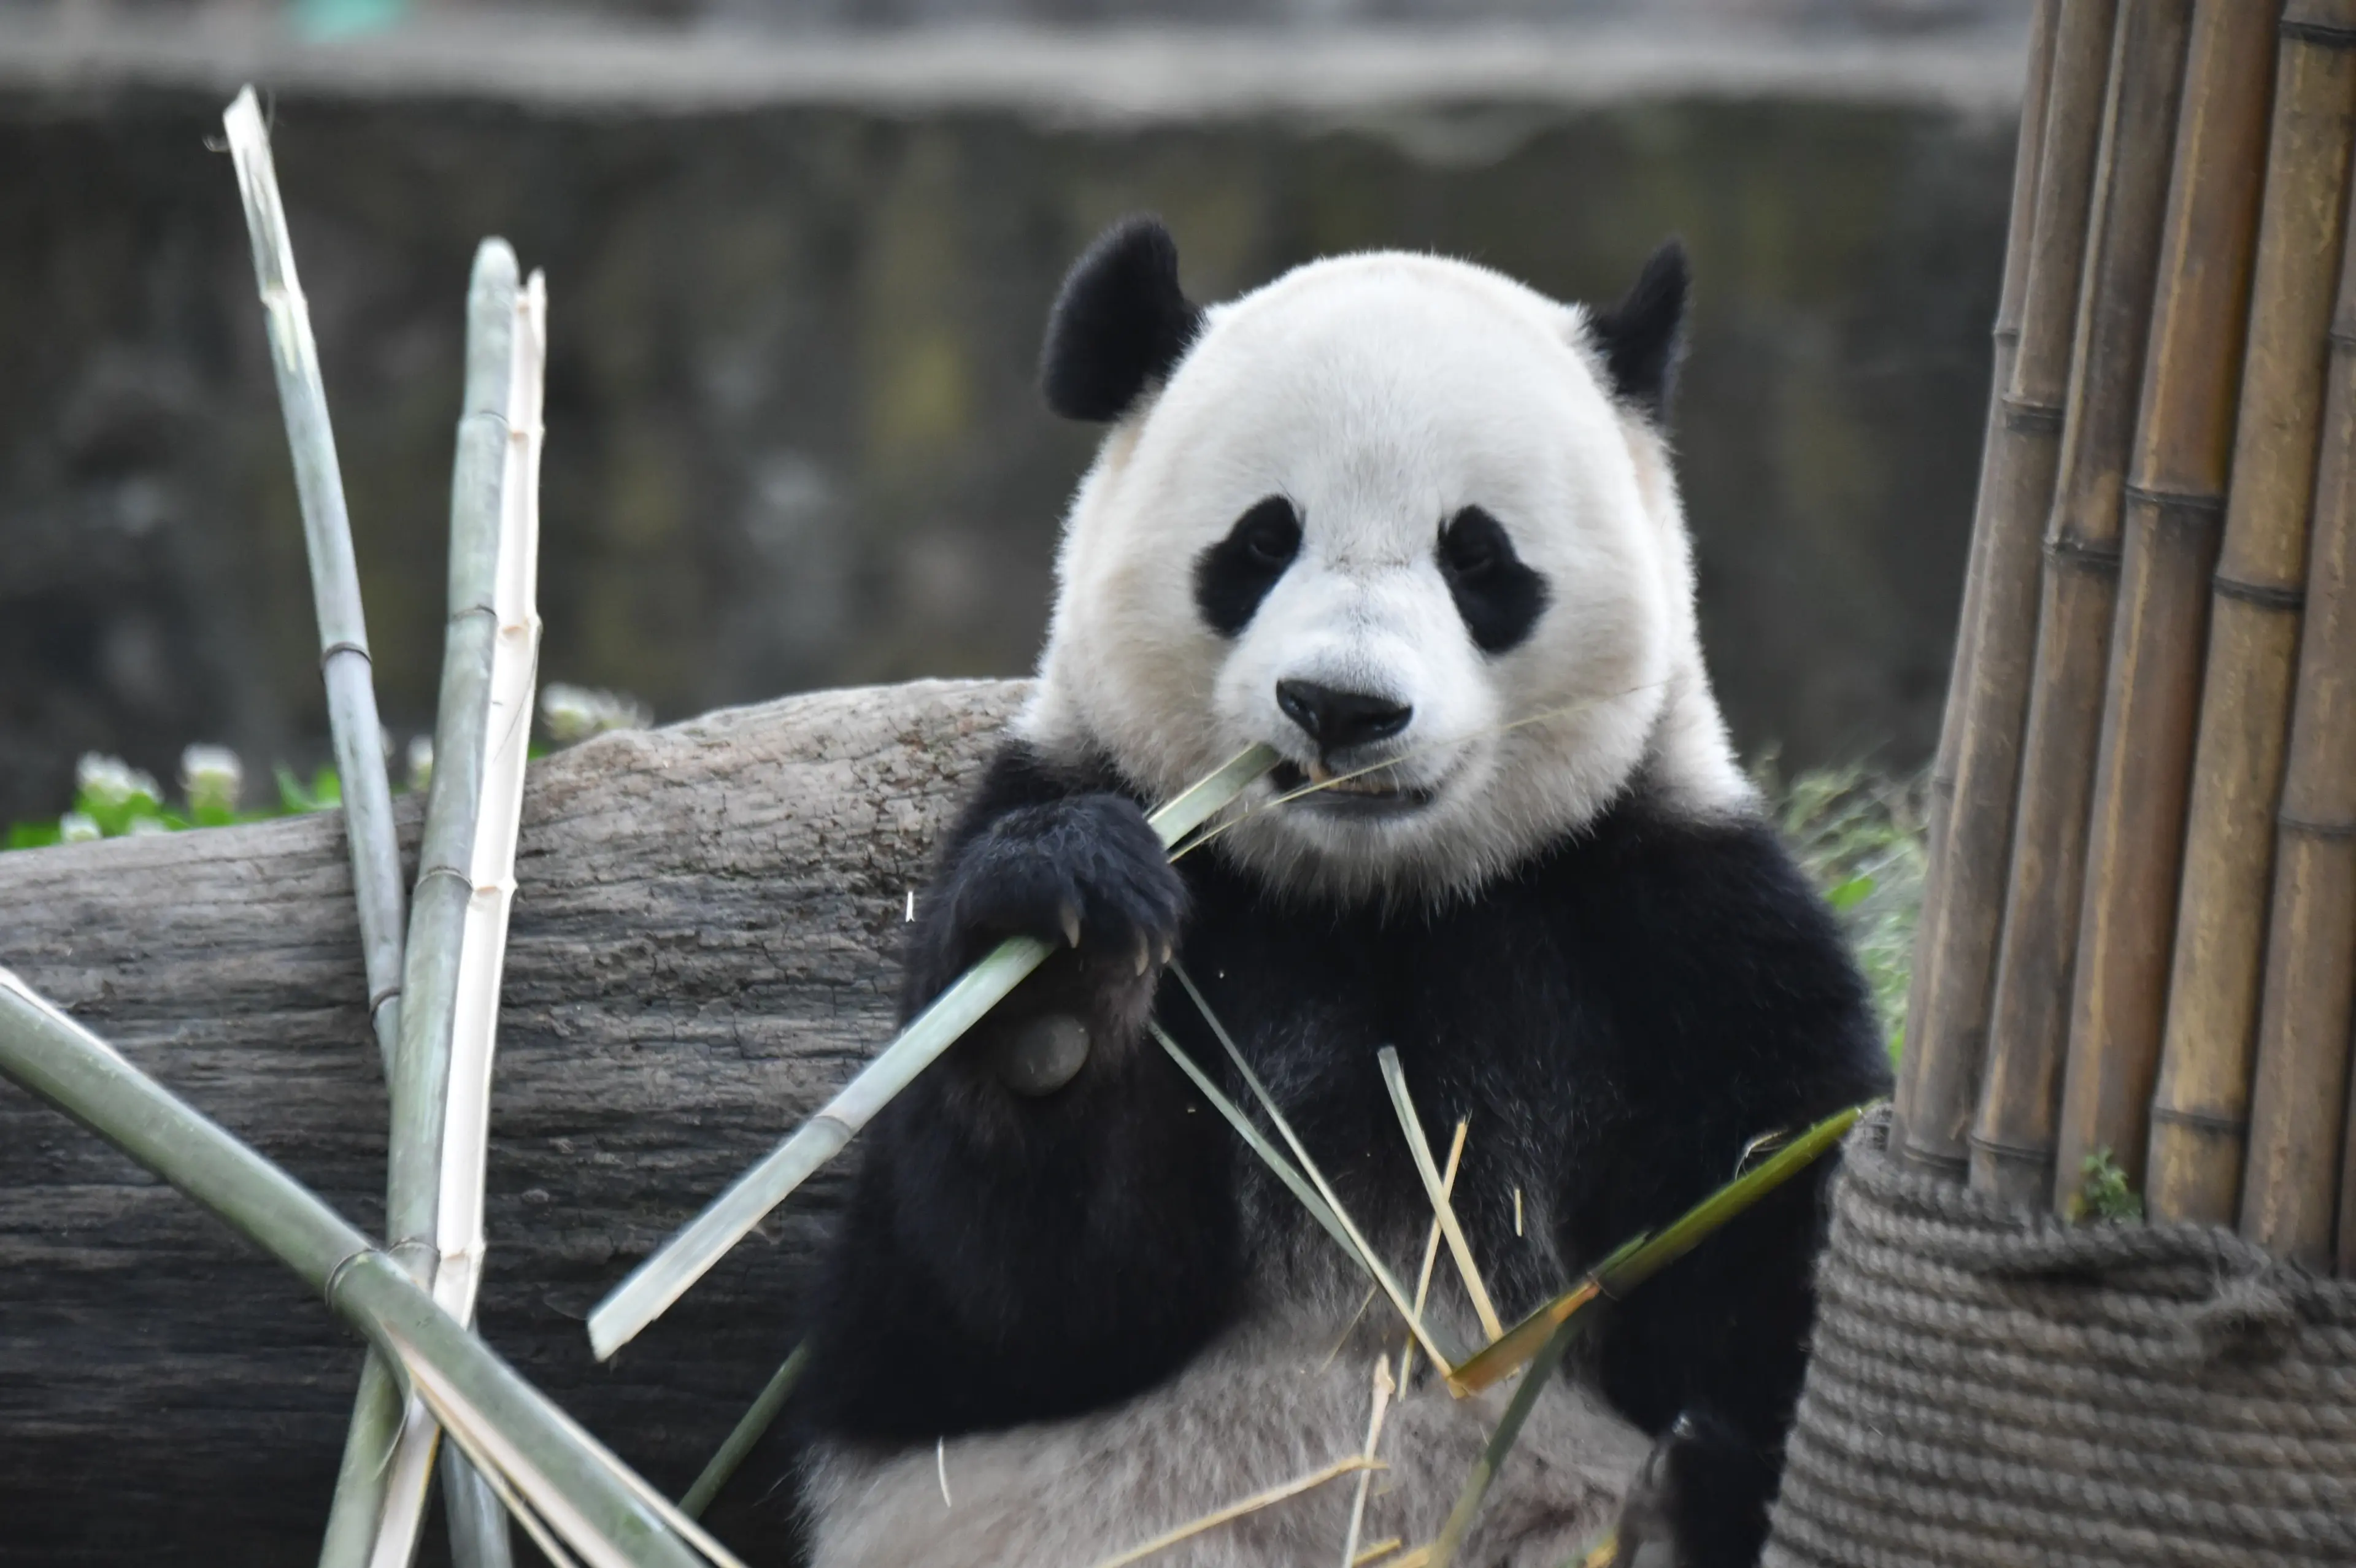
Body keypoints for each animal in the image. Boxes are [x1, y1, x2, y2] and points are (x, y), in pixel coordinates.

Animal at [780, 218, 1890, 1568]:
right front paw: (1061, 983)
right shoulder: (1081, 819)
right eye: (1261, 542)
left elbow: (1768, 1228)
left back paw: (1677, 1502)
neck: (1377, 906)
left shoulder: (1669, 924)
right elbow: (1008, 1315)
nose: (1344, 708)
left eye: (1478, 556)